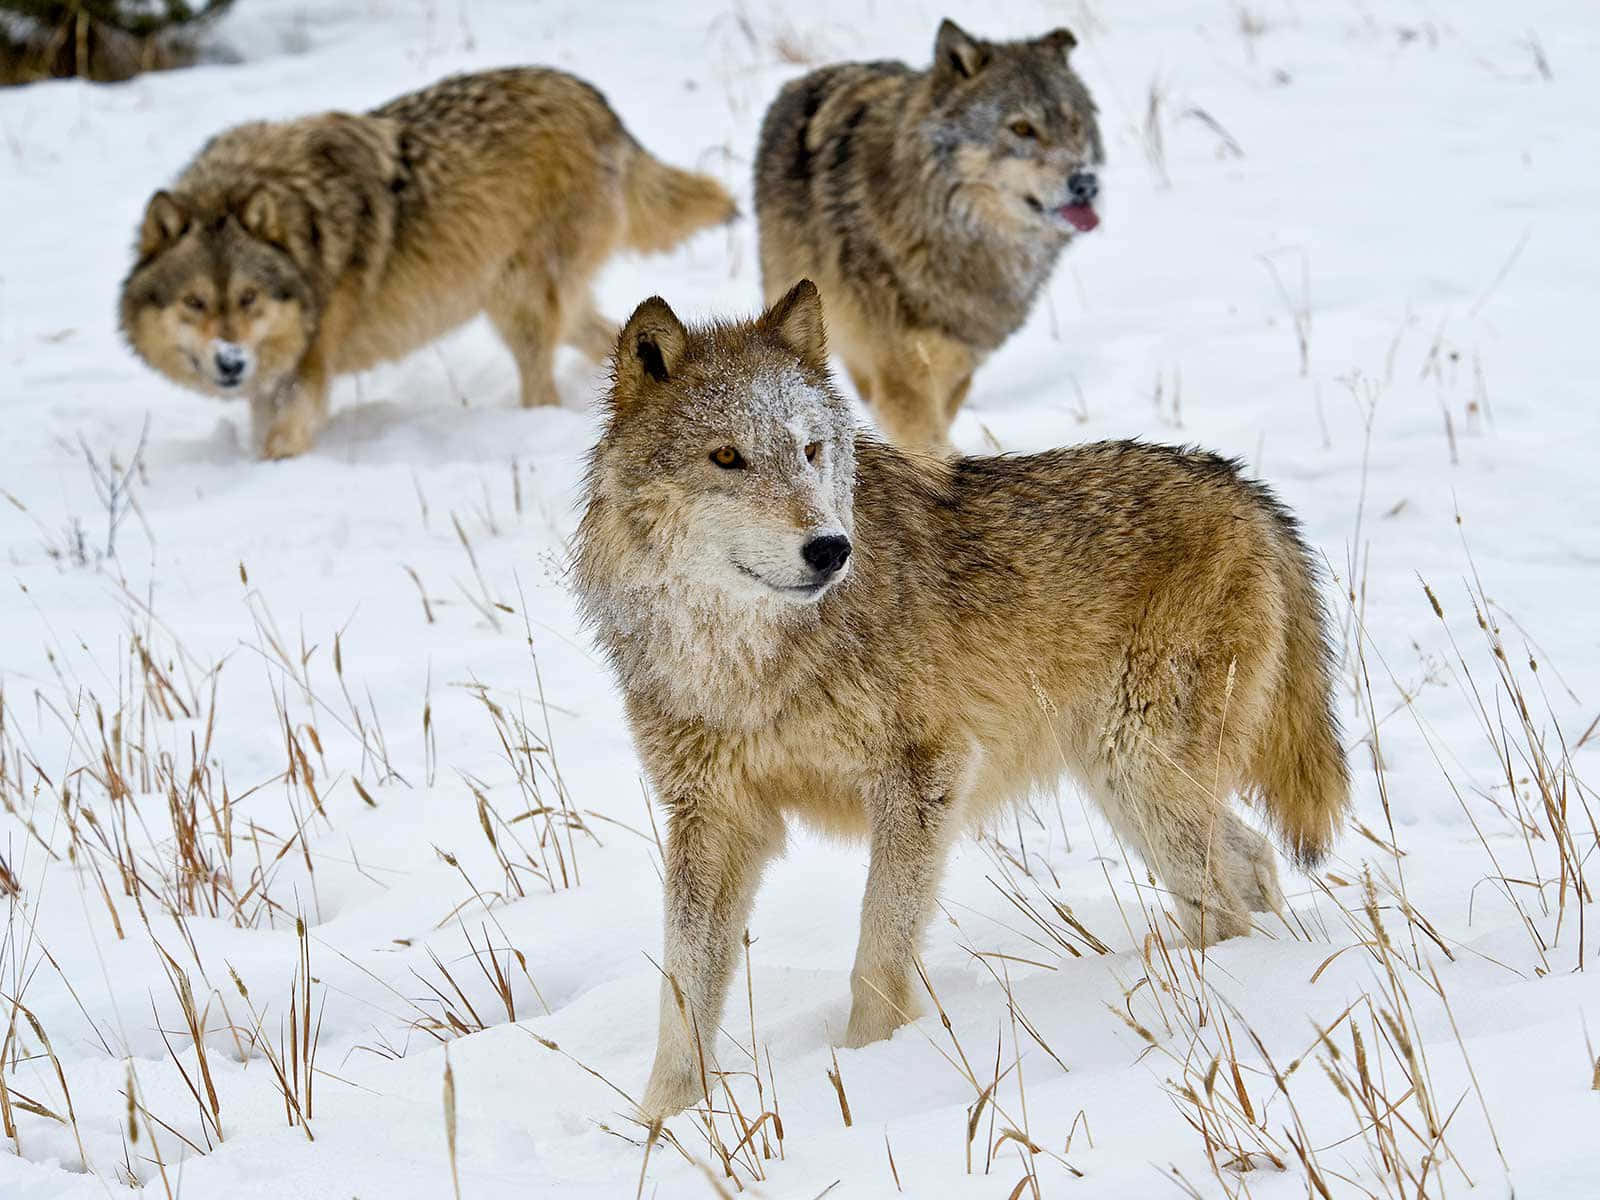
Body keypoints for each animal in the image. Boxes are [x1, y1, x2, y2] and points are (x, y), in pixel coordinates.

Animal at [119, 68, 735, 459]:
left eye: (248, 298)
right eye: (195, 302)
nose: (231, 363)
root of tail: (596, 102)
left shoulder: (305, 378)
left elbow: (280, 447)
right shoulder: (270, 383)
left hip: (518, 307)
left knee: (543, 381)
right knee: (603, 337)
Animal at [575, 281, 1350, 1119]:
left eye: (811, 451)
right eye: (727, 457)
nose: (830, 550)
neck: (748, 662)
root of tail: (1244, 485)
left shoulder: (925, 776)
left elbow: (877, 958)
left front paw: (870, 1072)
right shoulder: (714, 817)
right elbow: (682, 995)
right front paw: (665, 1125)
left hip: (1140, 774)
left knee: (1225, 897)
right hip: (1129, 787)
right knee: (1252, 859)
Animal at [755, 20, 1104, 453]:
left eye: (1074, 125)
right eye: (1022, 128)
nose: (1086, 183)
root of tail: (810, 76)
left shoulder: (958, 362)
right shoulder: (901, 373)